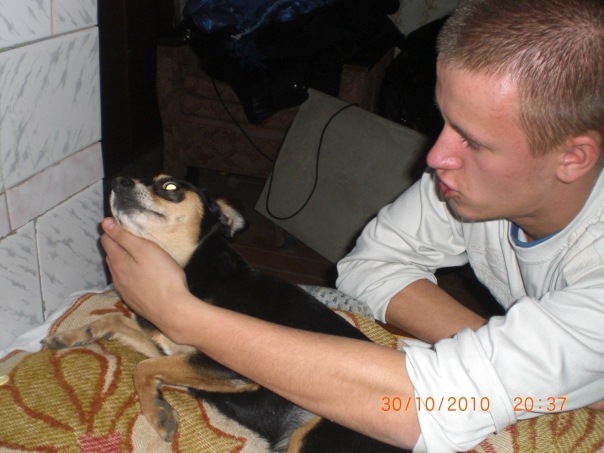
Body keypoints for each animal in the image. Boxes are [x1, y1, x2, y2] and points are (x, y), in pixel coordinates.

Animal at [43, 175, 407, 453]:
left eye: (170, 187)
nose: (119, 180)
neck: (190, 269)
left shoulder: (226, 366)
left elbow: (143, 368)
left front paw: (156, 411)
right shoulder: (169, 345)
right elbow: (116, 321)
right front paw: (70, 336)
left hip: (313, 434)